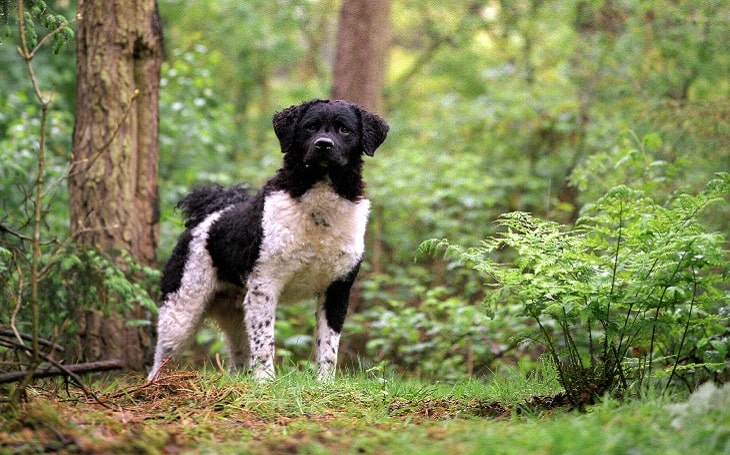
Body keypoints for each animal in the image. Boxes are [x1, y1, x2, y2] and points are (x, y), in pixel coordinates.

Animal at [146, 99, 386, 382]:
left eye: (344, 129)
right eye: (310, 127)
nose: (324, 144)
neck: (318, 212)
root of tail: (209, 215)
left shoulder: (337, 288)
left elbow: (328, 346)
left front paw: (324, 383)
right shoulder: (265, 285)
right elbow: (264, 341)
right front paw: (265, 381)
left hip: (235, 313)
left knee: (238, 358)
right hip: (182, 310)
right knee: (161, 359)